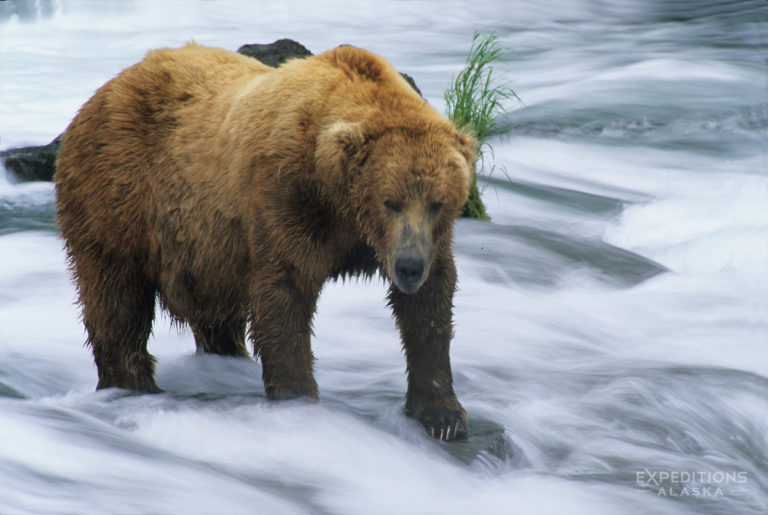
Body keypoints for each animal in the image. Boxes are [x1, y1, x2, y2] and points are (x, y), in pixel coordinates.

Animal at [55, 43, 476, 441]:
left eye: (438, 203)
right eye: (391, 201)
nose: (409, 267)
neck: (340, 201)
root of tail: (101, 92)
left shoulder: (414, 241)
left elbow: (429, 307)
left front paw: (443, 414)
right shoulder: (286, 199)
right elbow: (284, 295)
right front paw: (299, 401)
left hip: (205, 250)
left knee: (215, 313)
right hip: (119, 195)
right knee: (116, 297)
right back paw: (133, 383)